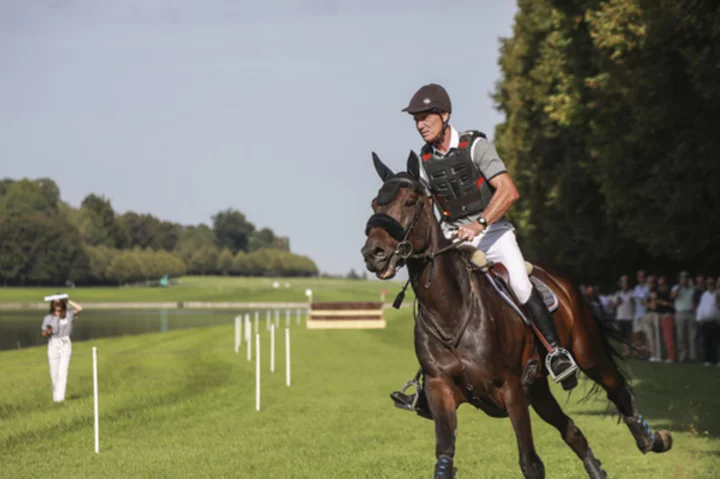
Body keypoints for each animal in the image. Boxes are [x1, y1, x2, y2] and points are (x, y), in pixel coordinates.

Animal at [362, 154, 672, 479]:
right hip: (538, 389)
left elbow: (530, 463)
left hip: (586, 353)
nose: (373, 254)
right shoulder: (440, 390)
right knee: (573, 431)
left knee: (618, 391)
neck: (451, 313)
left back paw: (652, 439)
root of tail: (562, 279)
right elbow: (444, 458)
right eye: (374, 204)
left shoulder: (510, 390)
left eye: (410, 202)